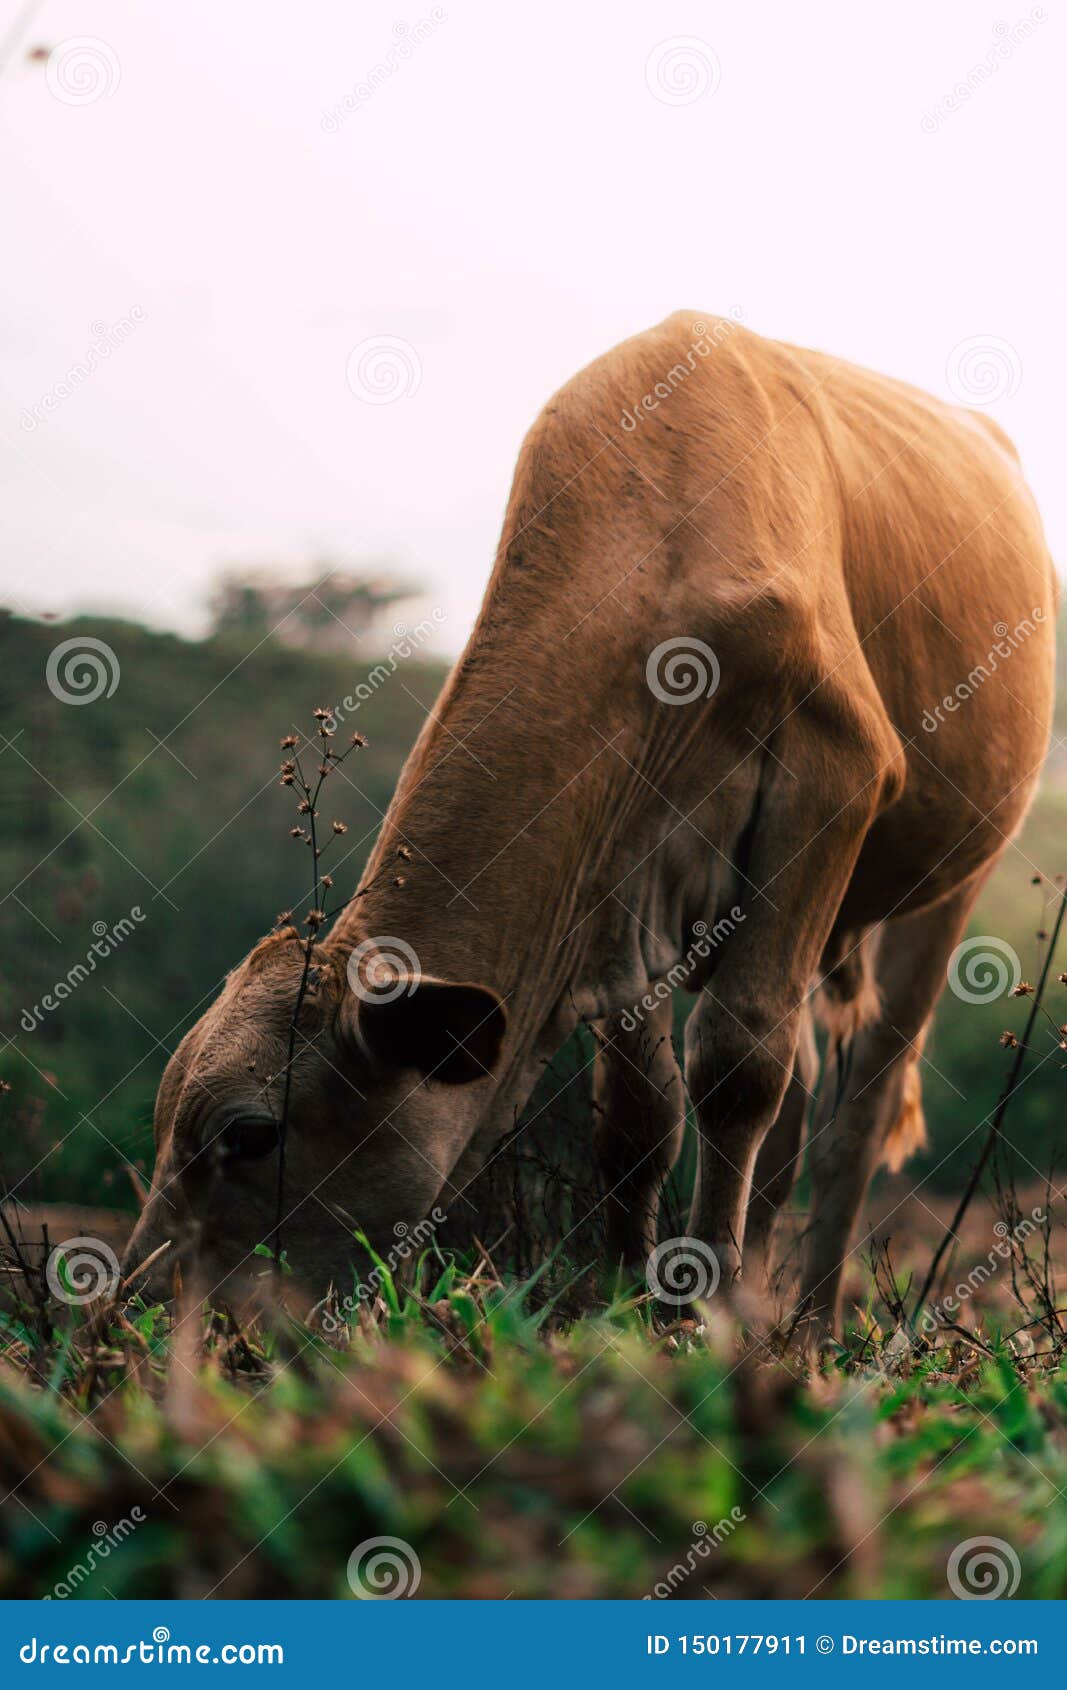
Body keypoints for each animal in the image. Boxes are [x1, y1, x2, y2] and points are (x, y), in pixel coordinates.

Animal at [120, 314, 1055, 1345]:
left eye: (250, 1134)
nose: (130, 1318)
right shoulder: (618, 879)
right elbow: (638, 1116)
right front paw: (634, 1308)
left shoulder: (833, 774)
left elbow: (737, 1064)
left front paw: (704, 1312)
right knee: (802, 1089)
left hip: (953, 874)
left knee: (862, 1096)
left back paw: (808, 1328)